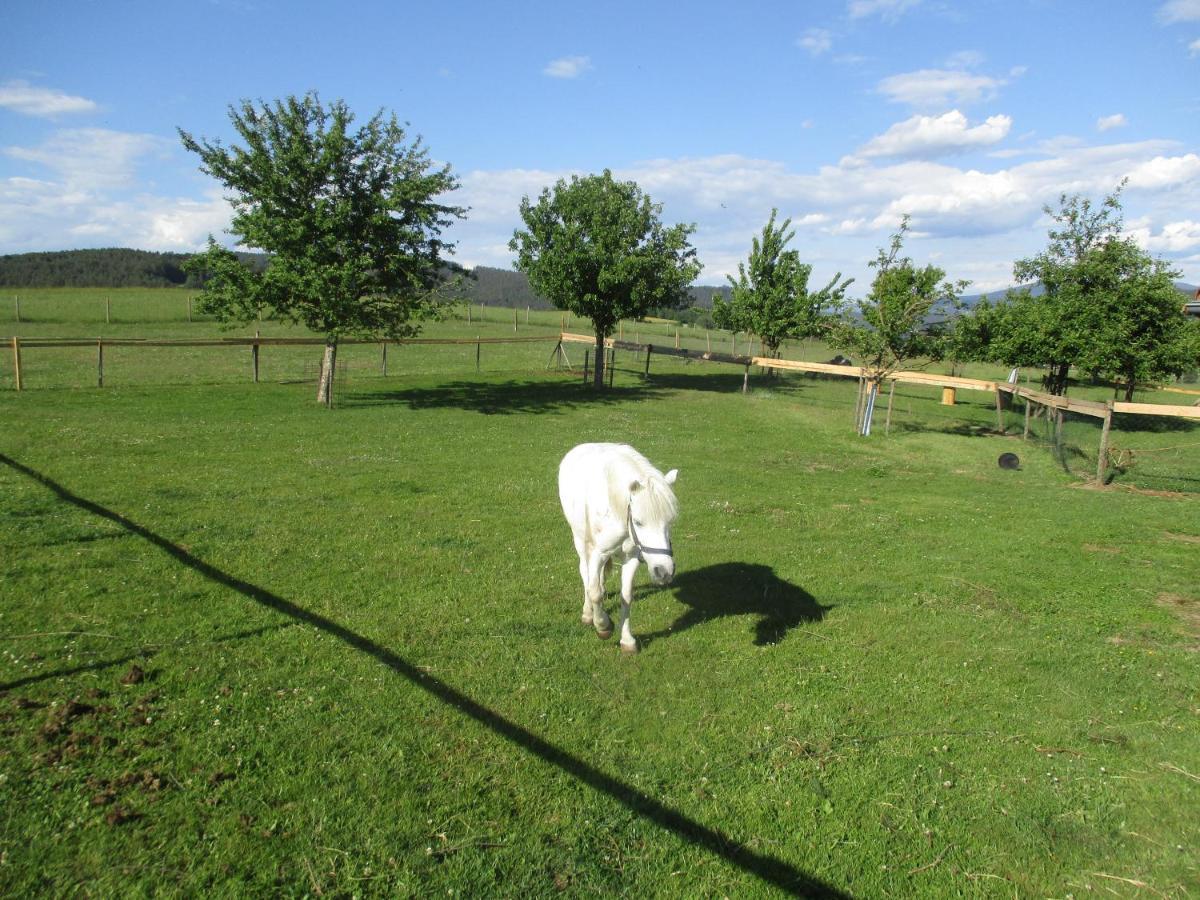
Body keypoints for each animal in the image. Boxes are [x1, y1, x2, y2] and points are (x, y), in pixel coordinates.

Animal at [559, 444, 681, 657]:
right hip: (580, 540)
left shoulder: (631, 556)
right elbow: (594, 592)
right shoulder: (599, 552)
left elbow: (626, 596)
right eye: (638, 522)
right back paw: (588, 613)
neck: (616, 509)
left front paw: (627, 640)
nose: (664, 572)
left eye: (670, 522)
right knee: (585, 574)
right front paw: (603, 626)